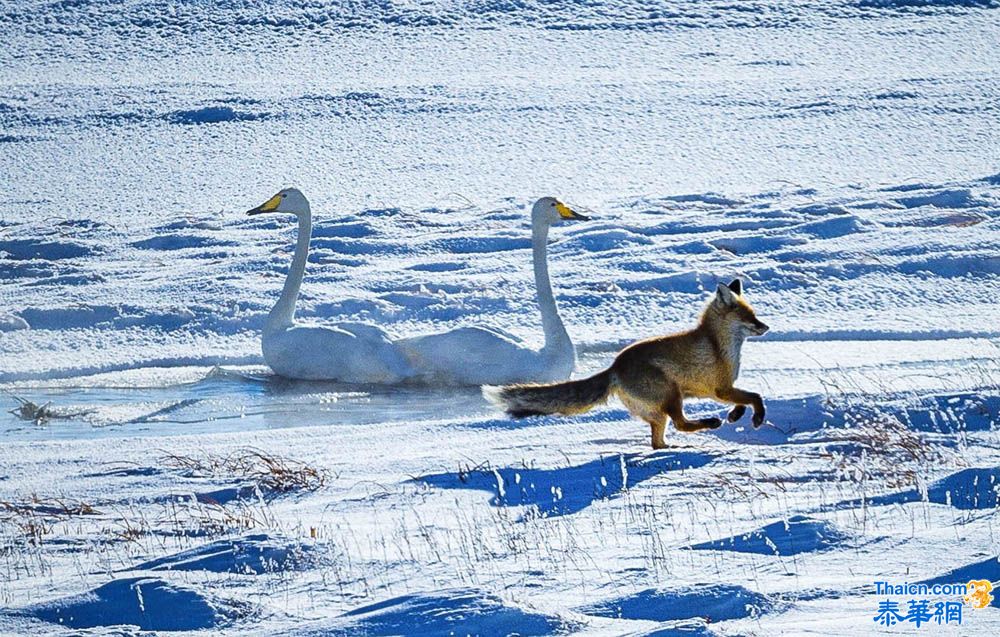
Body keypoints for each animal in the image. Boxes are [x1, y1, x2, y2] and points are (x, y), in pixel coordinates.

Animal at [484, 278, 772, 448]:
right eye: (749, 317)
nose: (766, 327)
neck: (717, 344)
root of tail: (614, 367)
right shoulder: (720, 388)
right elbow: (755, 397)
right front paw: (756, 417)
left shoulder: (718, 390)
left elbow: (743, 400)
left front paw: (736, 415)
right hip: (671, 396)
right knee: (680, 424)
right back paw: (709, 424)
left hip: (658, 412)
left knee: (658, 441)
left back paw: (671, 448)